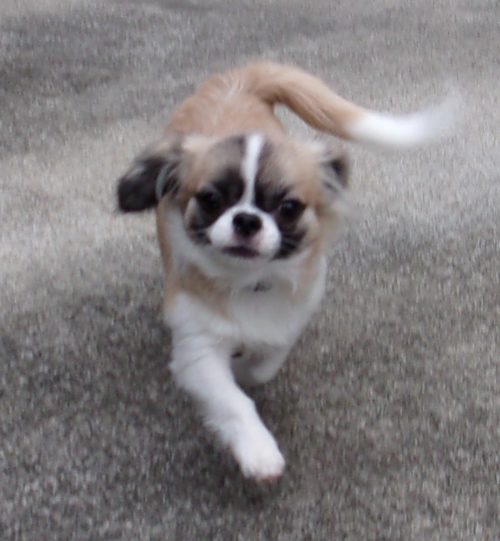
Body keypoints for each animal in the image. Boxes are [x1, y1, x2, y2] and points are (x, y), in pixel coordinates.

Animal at [116, 61, 455, 481]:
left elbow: (264, 365)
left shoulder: (290, 318)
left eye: (288, 207)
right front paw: (259, 452)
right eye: (210, 199)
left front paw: (244, 369)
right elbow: (232, 401)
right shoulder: (197, 347)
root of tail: (236, 81)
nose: (246, 220)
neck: (248, 282)